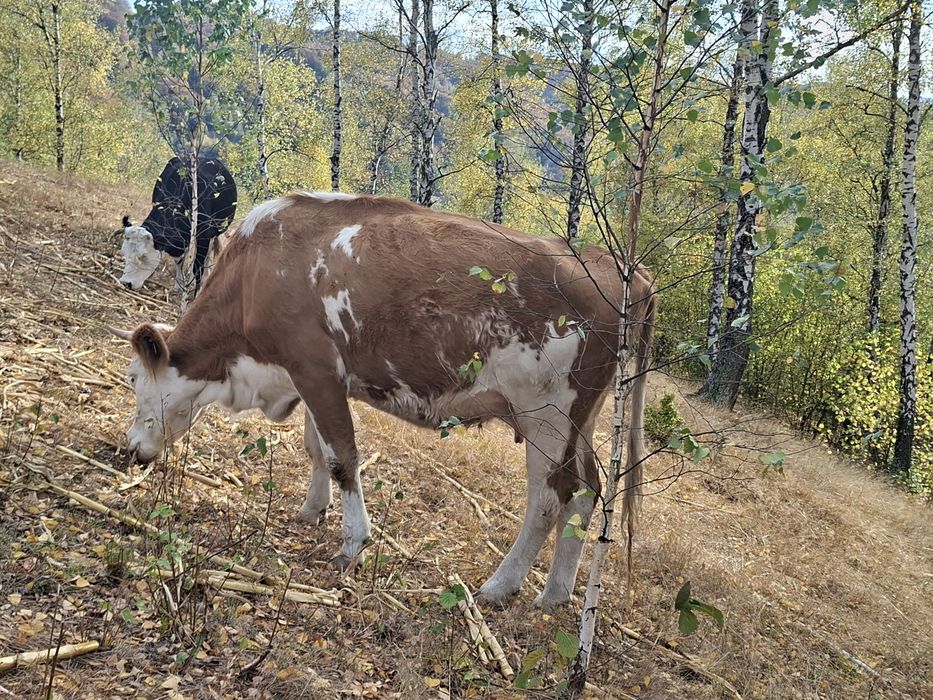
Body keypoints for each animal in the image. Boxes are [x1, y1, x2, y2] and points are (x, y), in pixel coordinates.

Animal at [109, 192, 656, 608]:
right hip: (581, 419)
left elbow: (342, 458)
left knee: (547, 499)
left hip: (547, 414)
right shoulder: (308, 377)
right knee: (587, 491)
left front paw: (352, 543)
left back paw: (500, 585)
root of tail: (617, 267)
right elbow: (316, 447)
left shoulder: (315, 371)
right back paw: (555, 594)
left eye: (134, 377)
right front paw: (312, 510)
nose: (131, 448)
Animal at [120, 155, 237, 294]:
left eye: (143, 256)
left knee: (209, 252)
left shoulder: (204, 234)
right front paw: (179, 284)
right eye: (124, 252)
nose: (126, 283)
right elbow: (180, 260)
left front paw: (198, 293)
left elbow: (198, 266)